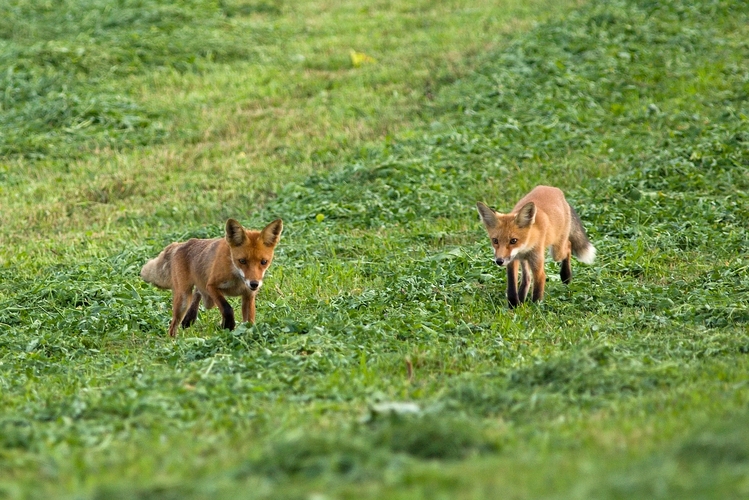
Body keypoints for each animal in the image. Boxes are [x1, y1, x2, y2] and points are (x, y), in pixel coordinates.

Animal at [139, 218, 282, 336]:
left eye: (263, 262)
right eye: (242, 261)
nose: (254, 284)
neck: (238, 280)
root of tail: (180, 244)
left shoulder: (248, 296)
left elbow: (249, 322)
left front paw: (246, 333)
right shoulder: (212, 286)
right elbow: (227, 308)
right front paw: (228, 326)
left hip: (208, 301)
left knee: (197, 293)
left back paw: (189, 318)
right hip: (184, 298)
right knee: (173, 325)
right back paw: (173, 342)